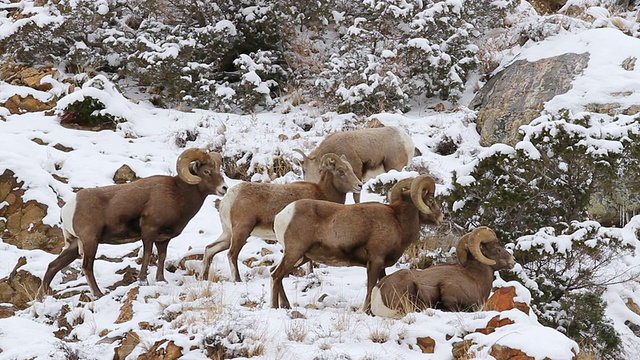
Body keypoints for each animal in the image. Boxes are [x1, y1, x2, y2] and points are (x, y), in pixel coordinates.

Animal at [37, 148, 228, 300]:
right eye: (206, 171)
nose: (224, 188)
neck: (178, 195)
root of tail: (69, 207)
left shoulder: (163, 239)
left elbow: (162, 258)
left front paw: (161, 280)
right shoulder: (149, 232)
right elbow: (147, 255)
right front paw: (143, 281)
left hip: (74, 245)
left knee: (53, 266)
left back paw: (43, 296)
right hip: (90, 241)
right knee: (87, 267)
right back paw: (99, 294)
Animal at [268, 174, 440, 312]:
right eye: (431, 200)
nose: (441, 217)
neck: (397, 221)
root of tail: (281, 216)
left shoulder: (381, 266)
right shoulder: (375, 261)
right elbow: (371, 287)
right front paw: (365, 311)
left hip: (301, 257)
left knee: (275, 274)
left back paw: (286, 306)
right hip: (294, 253)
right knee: (276, 275)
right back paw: (275, 307)